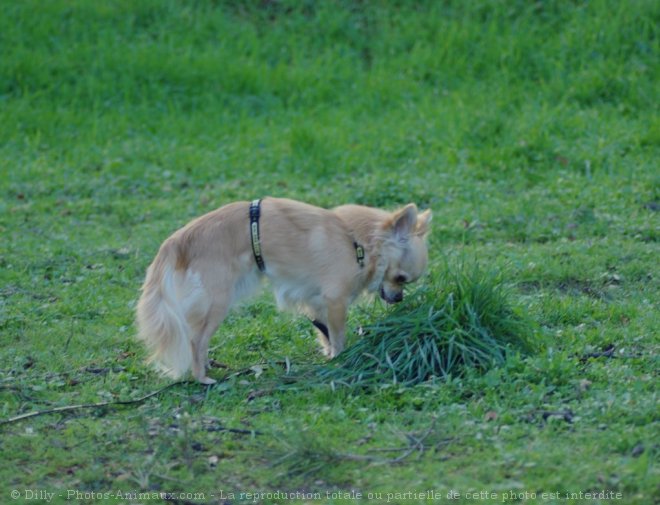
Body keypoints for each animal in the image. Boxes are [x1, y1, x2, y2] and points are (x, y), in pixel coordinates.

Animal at [137, 197, 430, 382]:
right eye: (400, 278)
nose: (398, 298)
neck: (356, 242)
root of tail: (177, 240)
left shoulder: (316, 301)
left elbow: (324, 332)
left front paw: (329, 357)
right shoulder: (335, 300)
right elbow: (338, 336)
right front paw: (340, 358)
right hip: (217, 301)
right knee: (195, 340)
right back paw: (202, 378)